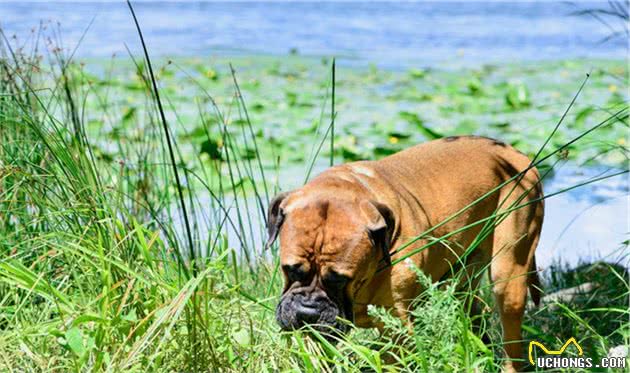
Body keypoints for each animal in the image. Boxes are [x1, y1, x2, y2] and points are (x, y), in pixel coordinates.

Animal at [266, 135, 544, 370]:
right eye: (290, 270)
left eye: (340, 280)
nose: (307, 312)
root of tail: (514, 153)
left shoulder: (397, 328)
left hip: (509, 274)